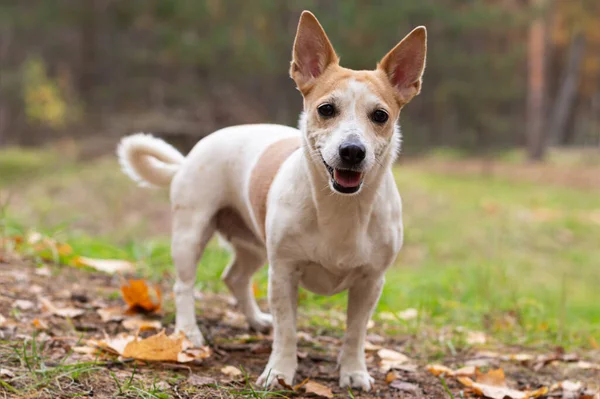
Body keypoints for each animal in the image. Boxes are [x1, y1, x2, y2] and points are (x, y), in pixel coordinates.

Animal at [118, 10, 426, 392]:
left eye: (380, 116)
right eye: (326, 109)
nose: (352, 151)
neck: (340, 208)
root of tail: (186, 158)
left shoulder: (371, 282)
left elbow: (355, 332)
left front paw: (353, 371)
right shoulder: (283, 273)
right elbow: (288, 329)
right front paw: (280, 371)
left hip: (253, 244)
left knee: (234, 277)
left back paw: (255, 320)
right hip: (191, 233)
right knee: (184, 285)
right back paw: (188, 332)